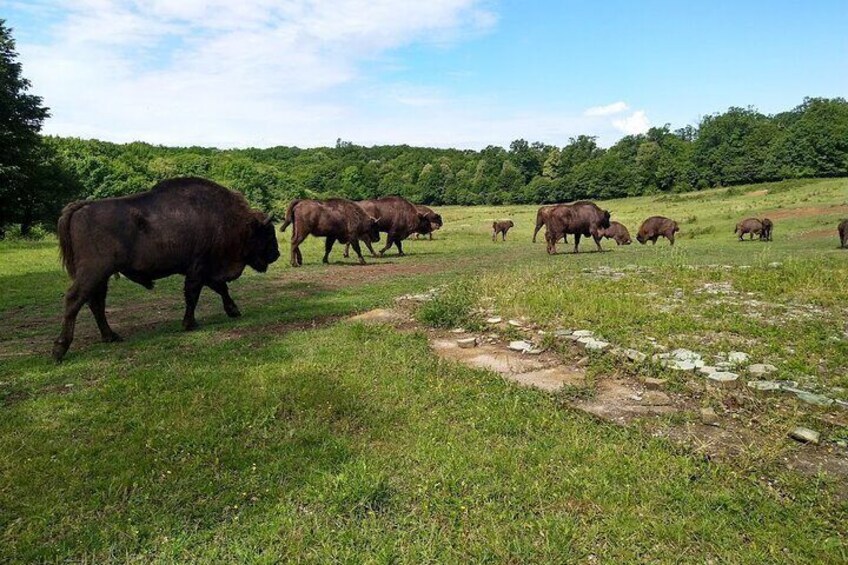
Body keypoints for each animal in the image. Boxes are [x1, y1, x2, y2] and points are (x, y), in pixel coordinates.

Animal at [53, 177, 280, 361]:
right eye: (267, 232)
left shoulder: (205, 271)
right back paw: (59, 350)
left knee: (96, 302)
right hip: (94, 272)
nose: (276, 254)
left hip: (102, 276)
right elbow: (193, 295)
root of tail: (82, 207)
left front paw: (234, 311)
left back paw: (111, 336)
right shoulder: (199, 268)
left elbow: (221, 288)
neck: (232, 221)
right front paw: (190, 324)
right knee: (75, 299)